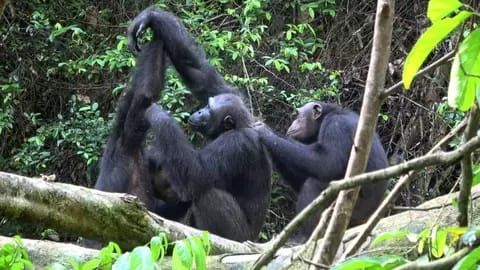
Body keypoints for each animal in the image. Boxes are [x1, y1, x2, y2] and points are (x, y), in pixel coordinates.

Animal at [255, 101, 386, 243]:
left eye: (296, 116)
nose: (292, 123)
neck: (326, 116)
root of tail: (368, 219)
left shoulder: (336, 126)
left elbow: (327, 162)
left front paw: (265, 131)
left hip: (350, 211)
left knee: (313, 185)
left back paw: (303, 237)